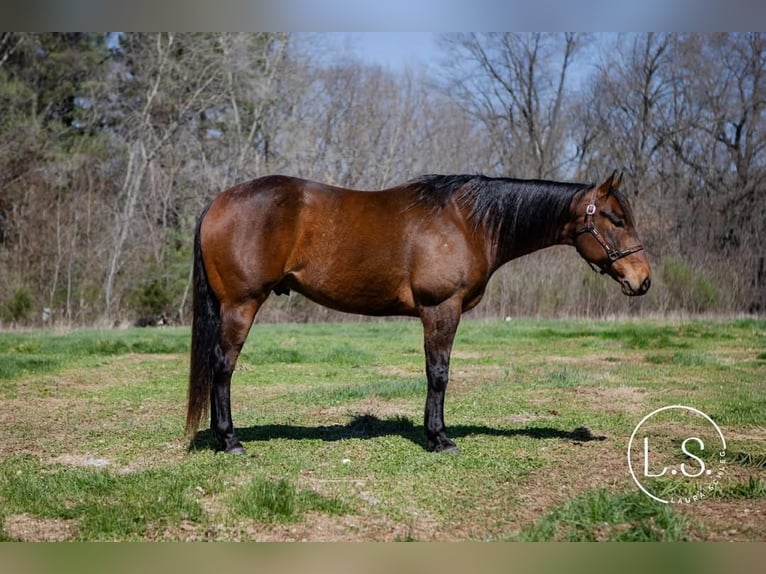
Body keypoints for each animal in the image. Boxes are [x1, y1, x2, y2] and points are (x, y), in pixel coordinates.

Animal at [185, 171, 651, 454]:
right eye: (615, 218)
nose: (643, 280)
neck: (467, 222)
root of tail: (218, 202)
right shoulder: (441, 309)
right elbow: (439, 373)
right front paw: (439, 437)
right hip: (241, 305)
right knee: (222, 366)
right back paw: (230, 440)